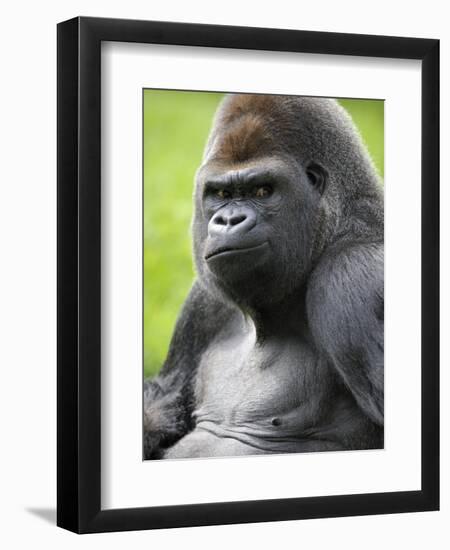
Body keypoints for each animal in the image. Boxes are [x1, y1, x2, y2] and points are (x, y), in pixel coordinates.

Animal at [144, 94, 384, 462]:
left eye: (262, 190)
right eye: (221, 194)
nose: (229, 220)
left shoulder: (352, 275)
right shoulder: (203, 301)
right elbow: (164, 406)